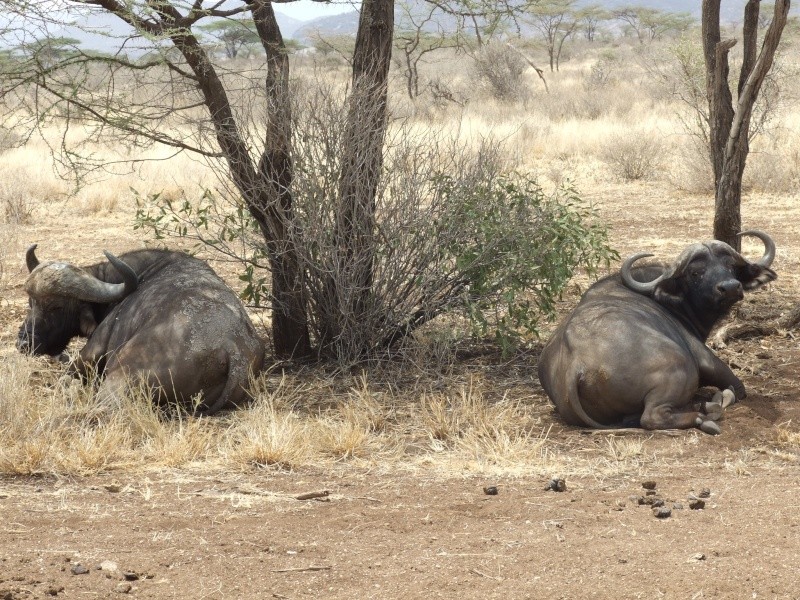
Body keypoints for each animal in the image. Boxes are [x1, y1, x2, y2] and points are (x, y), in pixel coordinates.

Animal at [16, 246, 266, 414]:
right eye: (31, 302)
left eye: (56, 306)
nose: (23, 342)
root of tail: (232, 350)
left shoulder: (91, 352)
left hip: (118, 379)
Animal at [536, 231, 776, 436]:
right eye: (696, 272)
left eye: (731, 266)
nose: (731, 287)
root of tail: (577, 364)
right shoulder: (705, 358)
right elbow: (737, 387)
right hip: (681, 368)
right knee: (652, 417)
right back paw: (704, 414)